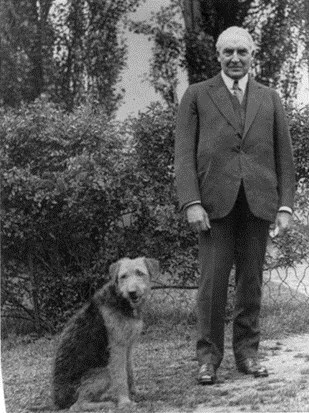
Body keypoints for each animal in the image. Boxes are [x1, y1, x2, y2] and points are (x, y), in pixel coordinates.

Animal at [51, 256, 158, 410]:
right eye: (123, 276)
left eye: (140, 273)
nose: (132, 292)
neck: (121, 300)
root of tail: (58, 401)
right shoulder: (117, 347)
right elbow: (121, 376)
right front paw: (125, 401)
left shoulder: (128, 346)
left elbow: (130, 372)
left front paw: (135, 392)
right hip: (105, 372)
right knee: (78, 405)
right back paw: (106, 403)